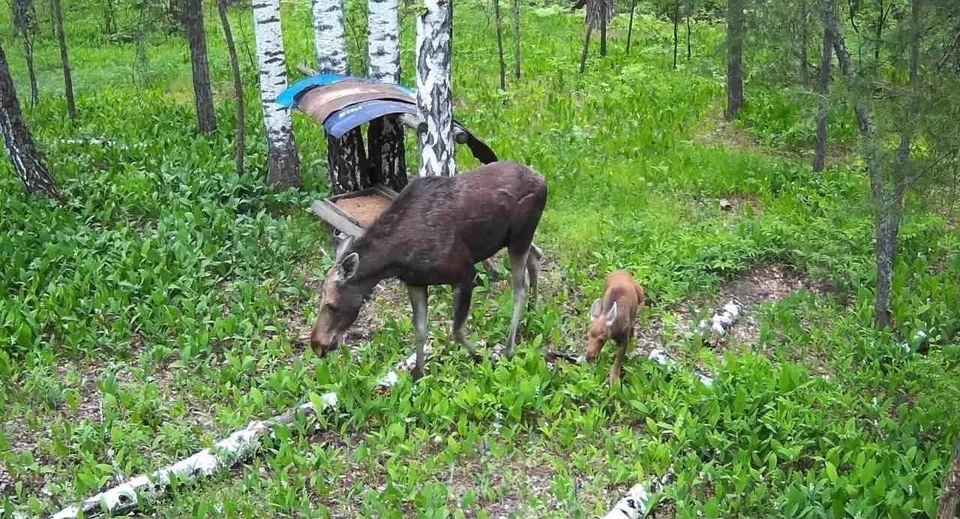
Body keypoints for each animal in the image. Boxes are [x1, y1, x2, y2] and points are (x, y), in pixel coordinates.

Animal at [308, 161, 548, 382]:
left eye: (331, 305)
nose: (317, 345)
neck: (396, 260)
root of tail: (543, 181)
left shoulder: (464, 272)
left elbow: (456, 330)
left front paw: (482, 357)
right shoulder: (416, 283)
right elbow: (420, 330)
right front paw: (418, 374)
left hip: (519, 237)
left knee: (520, 288)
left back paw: (509, 347)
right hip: (515, 239)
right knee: (536, 255)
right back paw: (535, 309)